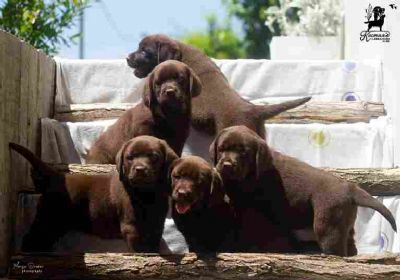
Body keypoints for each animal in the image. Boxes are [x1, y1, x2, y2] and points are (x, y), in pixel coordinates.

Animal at [9, 137, 177, 253]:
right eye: (130, 157)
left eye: (154, 157)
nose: (140, 169)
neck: (147, 194)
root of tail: (56, 176)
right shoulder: (131, 226)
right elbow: (140, 248)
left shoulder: (156, 223)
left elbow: (153, 240)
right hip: (49, 217)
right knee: (32, 237)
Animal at [209, 126, 396, 258]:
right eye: (221, 149)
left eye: (243, 153)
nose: (227, 165)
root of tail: (351, 188)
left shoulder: (248, 208)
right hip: (343, 221)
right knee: (351, 247)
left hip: (327, 223)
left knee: (336, 250)